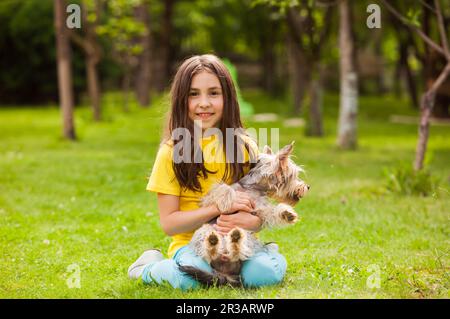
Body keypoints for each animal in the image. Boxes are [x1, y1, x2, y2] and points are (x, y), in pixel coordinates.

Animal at [178, 142, 310, 288]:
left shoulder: (261, 209)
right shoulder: (210, 199)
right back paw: (214, 242)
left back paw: (235, 241)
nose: (307, 187)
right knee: (210, 253)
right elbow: (223, 188)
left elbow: (272, 212)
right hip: (205, 230)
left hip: (248, 238)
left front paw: (286, 213)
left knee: (237, 253)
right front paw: (227, 201)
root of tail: (224, 273)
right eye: (293, 175)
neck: (253, 188)